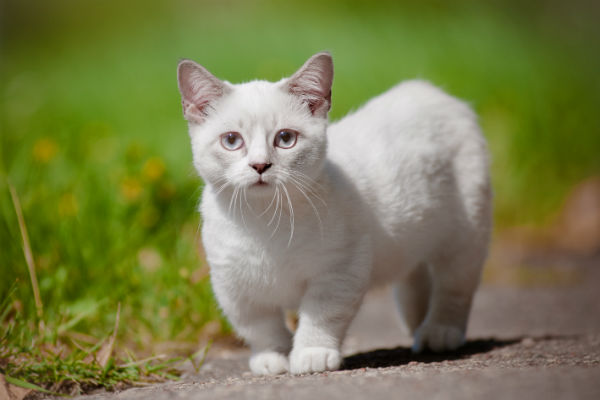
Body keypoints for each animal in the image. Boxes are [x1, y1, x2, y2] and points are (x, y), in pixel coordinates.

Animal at [175, 52, 492, 376]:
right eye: (231, 141)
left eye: (285, 138)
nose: (260, 165)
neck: (264, 222)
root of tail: (429, 90)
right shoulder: (233, 285)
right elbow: (259, 326)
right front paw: (272, 357)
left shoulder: (339, 270)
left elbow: (321, 316)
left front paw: (311, 354)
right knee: (414, 278)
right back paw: (418, 327)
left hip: (465, 234)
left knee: (454, 287)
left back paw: (439, 332)